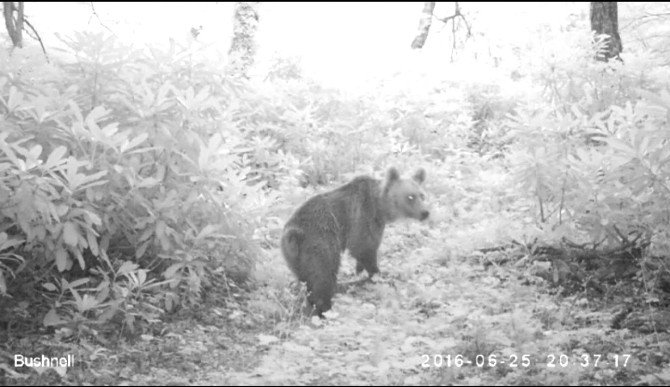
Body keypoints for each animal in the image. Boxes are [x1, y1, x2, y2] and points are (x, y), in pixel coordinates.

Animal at [280, 168, 430, 316]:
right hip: (319, 243)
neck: (381, 208)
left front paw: (360, 271)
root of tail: (293, 234)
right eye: (410, 197)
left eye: (422, 196)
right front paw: (378, 274)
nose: (425, 212)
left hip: (296, 258)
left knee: (307, 280)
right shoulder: (364, 216)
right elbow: (364, 247)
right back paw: (326, 308)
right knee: (324, 276)